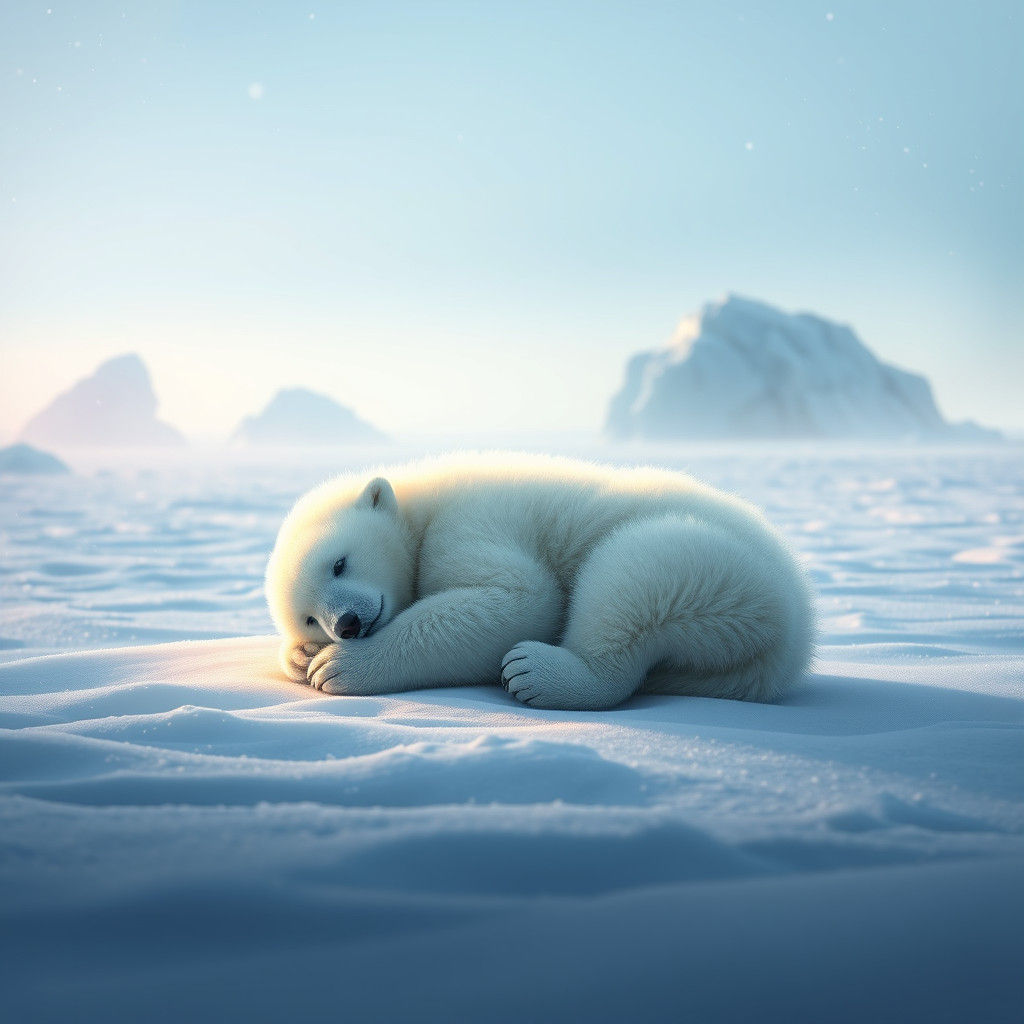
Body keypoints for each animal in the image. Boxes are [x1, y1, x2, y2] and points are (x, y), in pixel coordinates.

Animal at [265, 453, 814, 711]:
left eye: (340, 563)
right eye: (309, 617)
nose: (348, 625)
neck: (423, 503)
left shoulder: (467, 521)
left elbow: (521, 597)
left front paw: (339, 667)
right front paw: (300, 656)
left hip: (720, 570)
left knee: (634, 574)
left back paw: (539, 673)